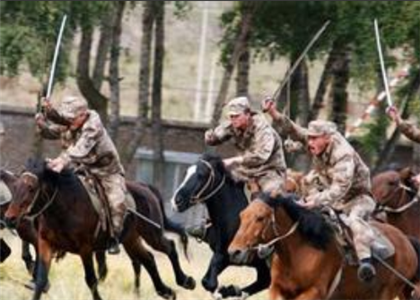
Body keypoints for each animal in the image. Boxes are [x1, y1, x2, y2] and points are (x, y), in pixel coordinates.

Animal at [3, 158, 195, 298]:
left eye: (31, 188)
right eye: (16, 185)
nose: (9, 218)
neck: (65, 206)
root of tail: (145, 188)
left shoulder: (85, 249)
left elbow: (91, 280)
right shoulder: (45, 244)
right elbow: (41, 280)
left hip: (152, 233)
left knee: (169, 248)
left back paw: (186, 281)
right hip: (131, 240)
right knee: (148, 259)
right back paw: (165, 291)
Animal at [170, 154, 270, 298]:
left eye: (202, 175)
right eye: (186, 173)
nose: (176, 201)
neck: (235, 220)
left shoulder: (233, 257)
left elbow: (210, 283)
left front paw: (223, 291)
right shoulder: (221, 254)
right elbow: (207, 281)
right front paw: (228, 290)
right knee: (265, 280)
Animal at [228, 192, 420, 300]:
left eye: (260, 217)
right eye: (242, 215)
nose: (234, 252)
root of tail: (406, 242)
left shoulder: (315, 291)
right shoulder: (277, 289)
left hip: (387, 292)